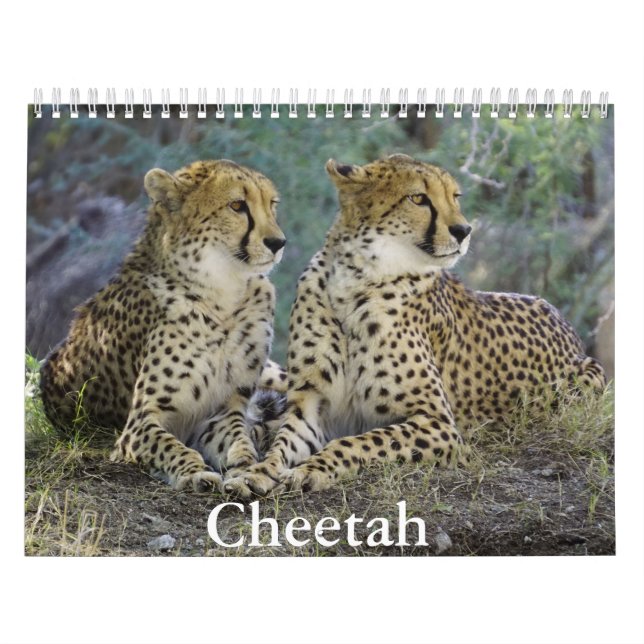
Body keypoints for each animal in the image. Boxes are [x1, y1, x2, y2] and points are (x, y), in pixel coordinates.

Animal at [40, 159, 288, 491]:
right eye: (237, 205)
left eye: (272, 204)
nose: (278, 242)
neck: (223, 294)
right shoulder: (140, 423)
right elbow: (171, 446)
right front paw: (195, 472)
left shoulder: (222, 412)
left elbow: (240, 442)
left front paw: (247, 469)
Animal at [223, 154, 605, 497]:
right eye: (418, 198)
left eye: (455, 197)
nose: (464, 230)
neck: (356, 279)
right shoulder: (311, 403)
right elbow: (283, 444)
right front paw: (256, 472)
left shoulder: (438, 423)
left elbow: (357, 442)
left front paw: (312, 470)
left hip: (585, 379)